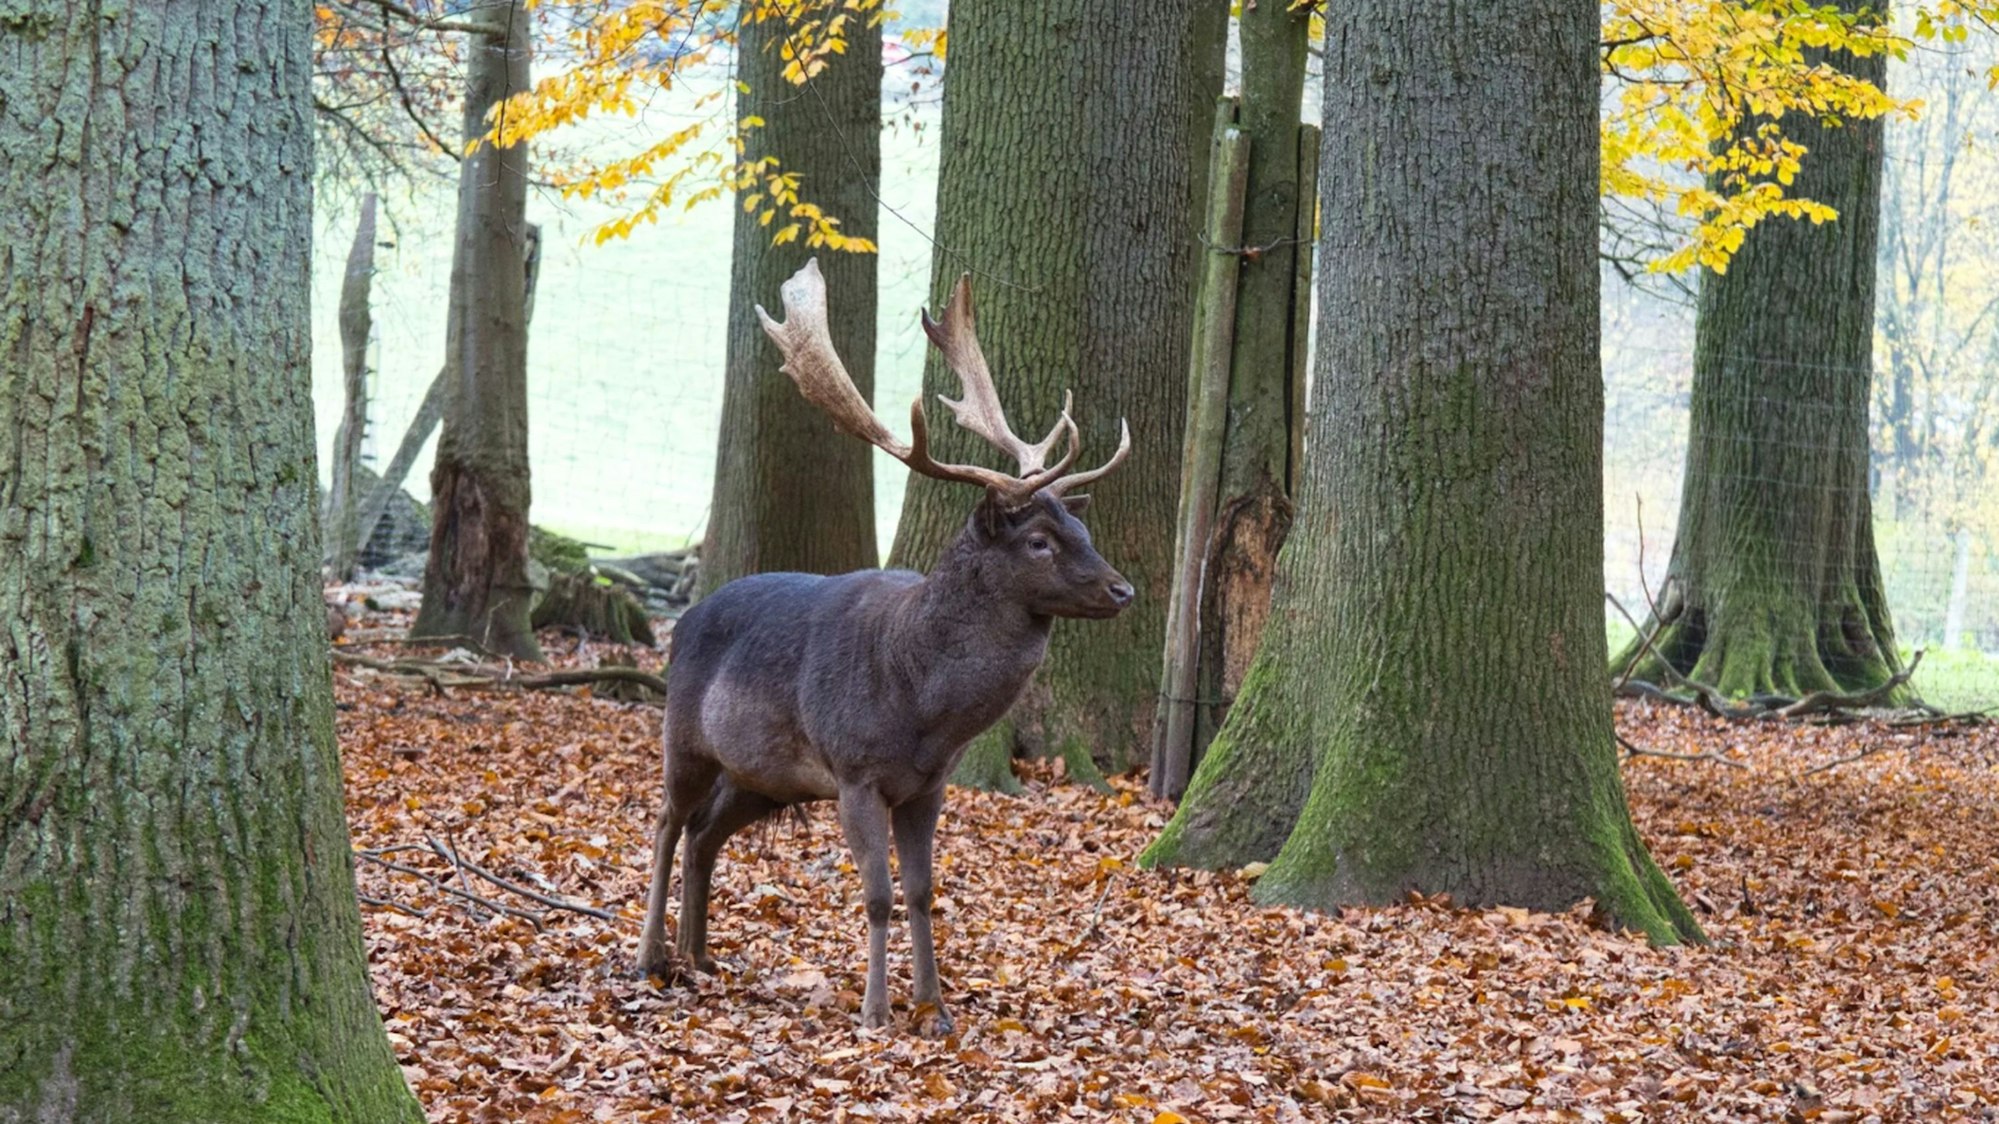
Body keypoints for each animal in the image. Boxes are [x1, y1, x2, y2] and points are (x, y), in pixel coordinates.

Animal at [635, 258, 1133, 1036]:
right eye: (1038, 540)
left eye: (1080, 529)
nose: (1122, 589)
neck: (922, 707)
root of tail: (684, 619)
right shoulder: (856, 770)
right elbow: (877, 893)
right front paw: (875, 1013)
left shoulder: (928, 785)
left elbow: (924, 890)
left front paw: (935, 1009)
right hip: (685, 738)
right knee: (665, 825)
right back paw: (649, 958)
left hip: (761, 777)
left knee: (704, 835)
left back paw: (700, 955)